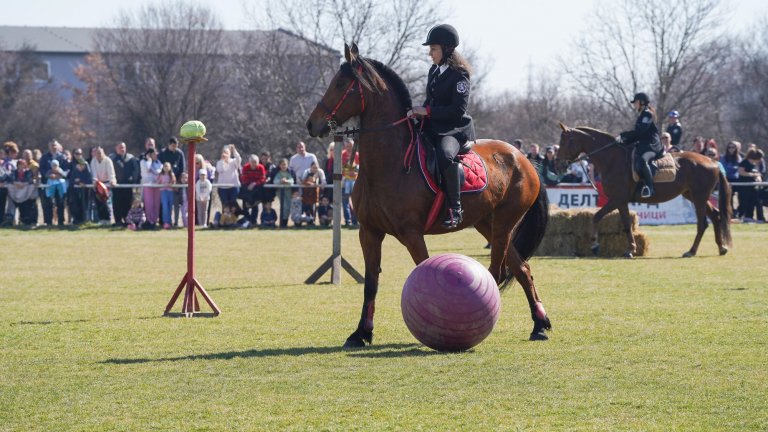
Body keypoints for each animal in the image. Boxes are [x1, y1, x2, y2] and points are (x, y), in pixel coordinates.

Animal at [306, 44, 552, 348]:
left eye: (341, 83)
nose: (312, 124)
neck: (389, 163)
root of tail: (523, 158)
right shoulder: (369, 232)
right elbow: (371, 284)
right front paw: (361, 333)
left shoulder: (411, 233)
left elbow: (424, 271)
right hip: (487, 223)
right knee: (521, 269)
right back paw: (539, 325)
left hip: (504, 224)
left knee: (497, 270)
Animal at [556, 122, 728, 256]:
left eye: (564, 142)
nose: (559, 165)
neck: (612, 159)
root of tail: (713, 161)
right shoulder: (621, 201)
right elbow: (626, 224)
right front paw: (630, 250)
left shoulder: (617, 199)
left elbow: (596, 216)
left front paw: (595, 245)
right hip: (693, 195)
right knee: (715, 216)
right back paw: (721, 248)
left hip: (699, 197)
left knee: (702, 223)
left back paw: (691, 251)